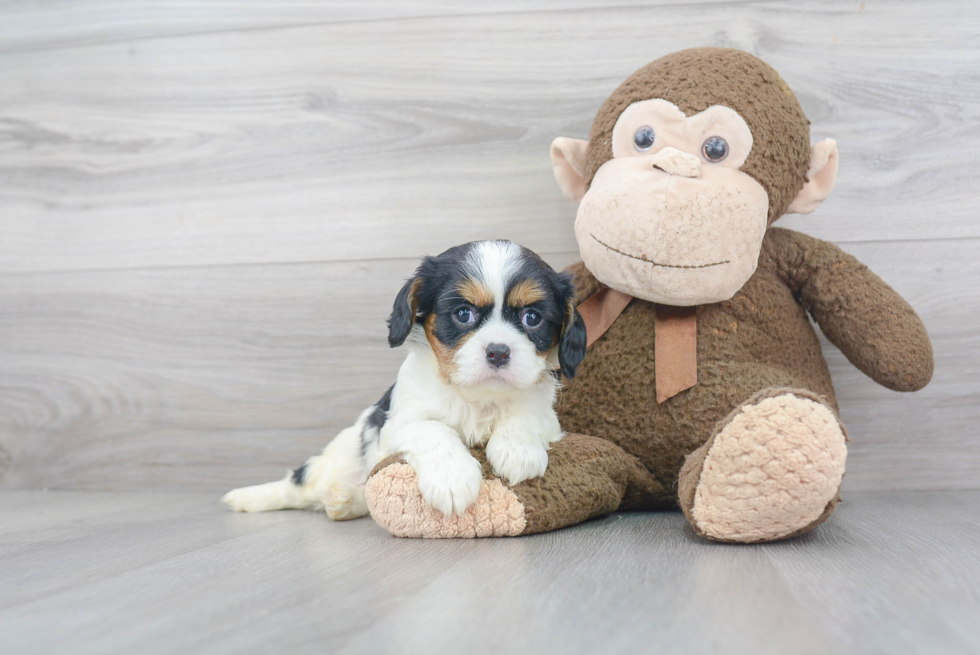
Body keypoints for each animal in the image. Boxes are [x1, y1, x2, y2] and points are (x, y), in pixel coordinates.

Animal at [222, 241, 584, 524]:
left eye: (532, 318)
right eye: (463, 314)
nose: (498, 351)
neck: (477, 397)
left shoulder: (547, 417)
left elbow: (524, 417)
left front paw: (517, 449)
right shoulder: (396, 425)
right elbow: (434, 429)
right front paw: (452, 478)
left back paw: (344, 500)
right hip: (336, 459)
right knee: (298, 484)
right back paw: (249, 498)